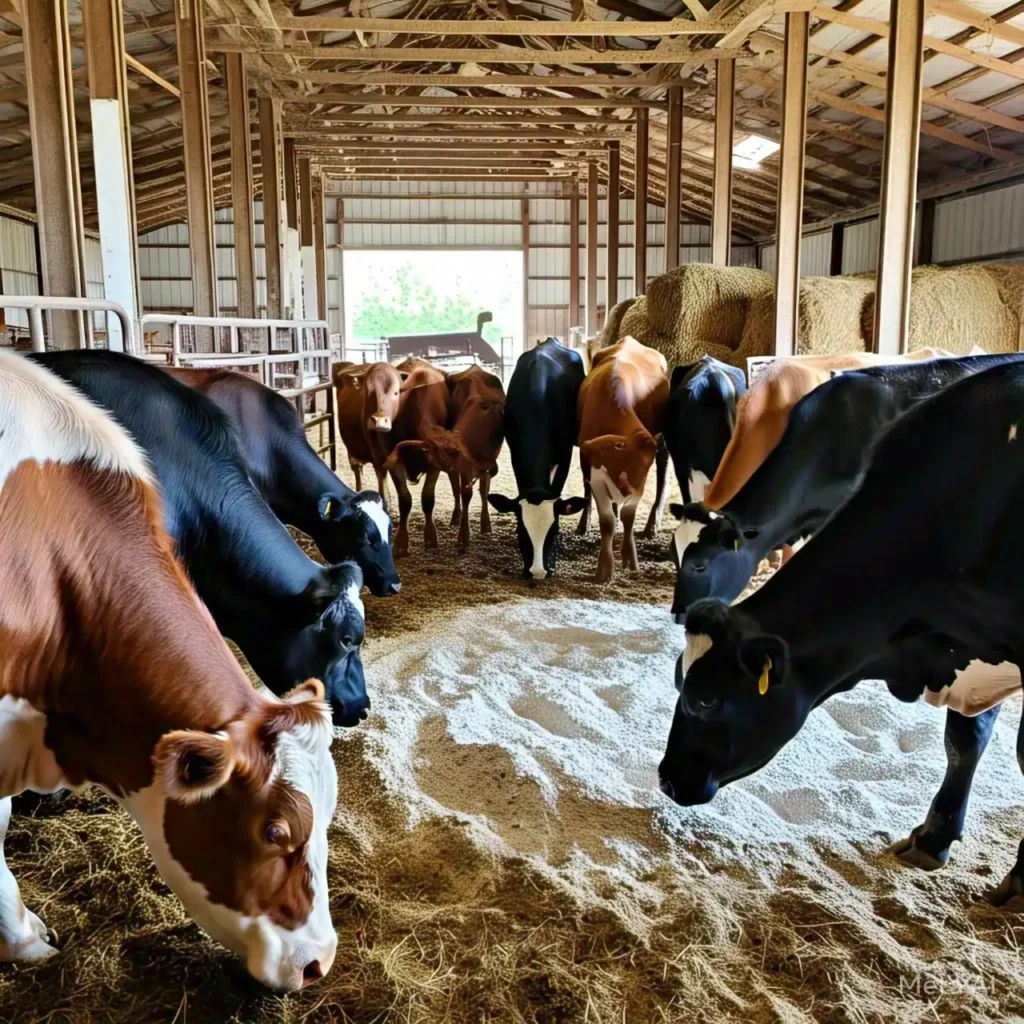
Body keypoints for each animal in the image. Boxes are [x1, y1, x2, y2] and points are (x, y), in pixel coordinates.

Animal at [578, 337, 670, 583]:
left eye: (645, 467)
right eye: (619, 462)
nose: (627, 490)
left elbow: (629, 516)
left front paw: (630, 557)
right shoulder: (595, 472)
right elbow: (607, 521)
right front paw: (604, 567)